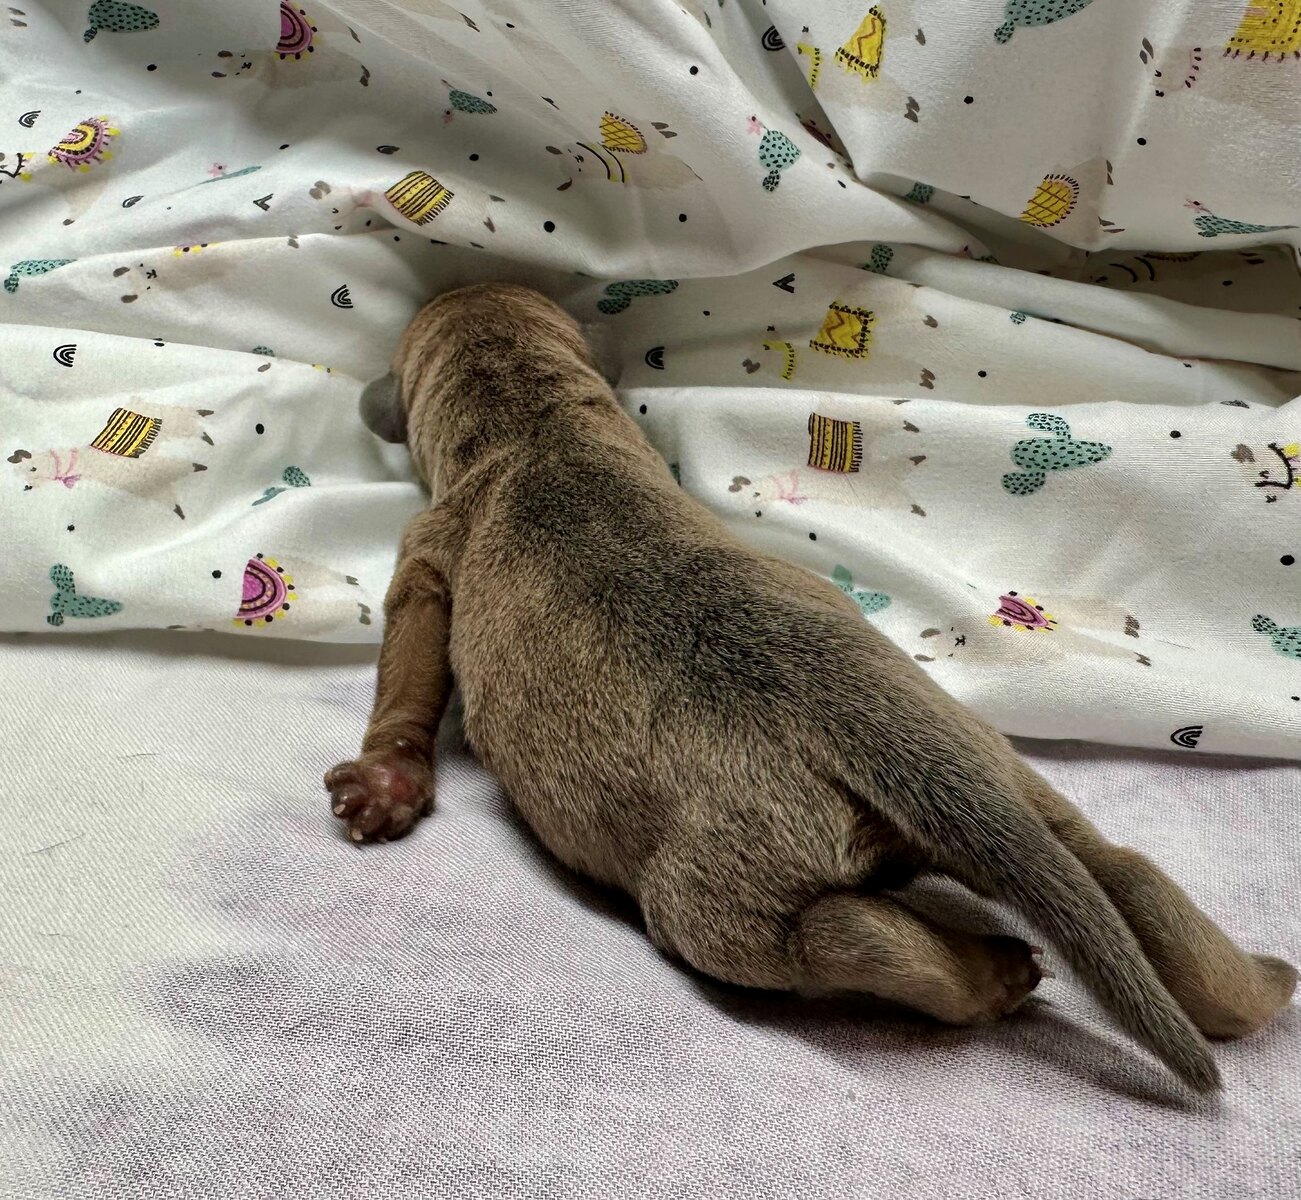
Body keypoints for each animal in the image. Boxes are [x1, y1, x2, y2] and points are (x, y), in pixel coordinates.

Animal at [326, 283, 1296, 1093]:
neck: (531, 418)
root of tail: (902, 750)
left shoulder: (430, 549)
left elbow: (409, 660)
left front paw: (383, 782)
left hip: (721, 894)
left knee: (840, 939)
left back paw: (992, 974)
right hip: (1003, 767)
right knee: (1117, 866)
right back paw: (1251, 987)